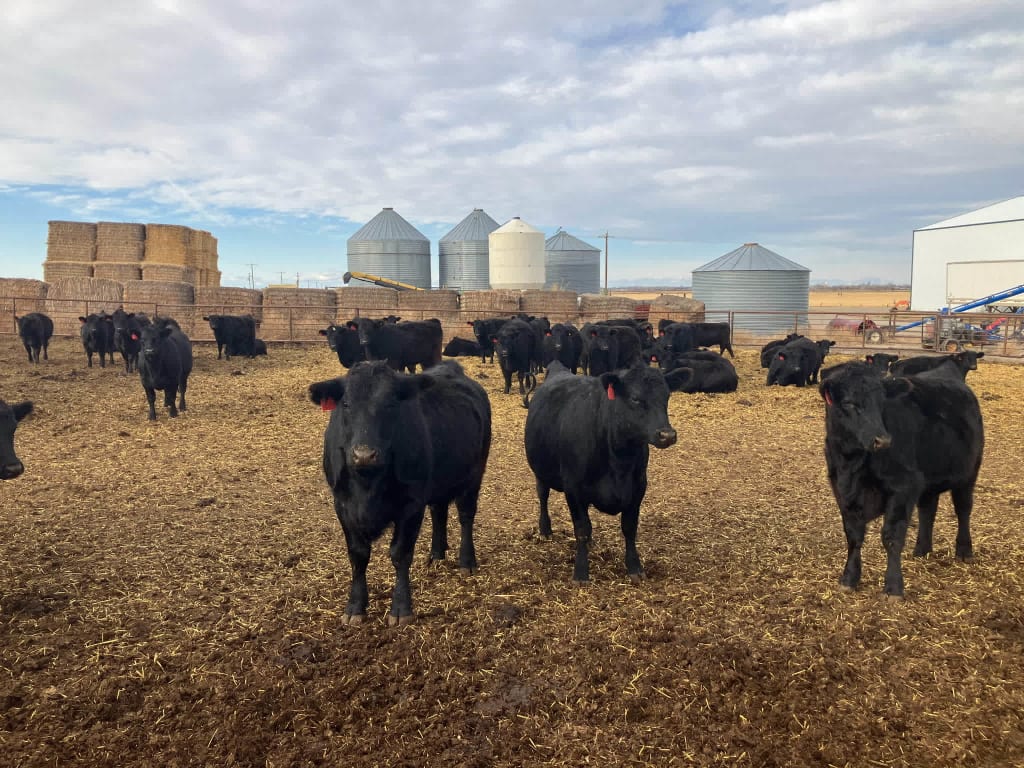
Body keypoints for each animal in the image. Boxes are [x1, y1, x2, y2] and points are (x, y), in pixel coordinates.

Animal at [308, 360, 492, 626]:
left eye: (390, 404)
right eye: (346, 404)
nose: (364, 454)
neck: (367, 483)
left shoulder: (411, 505)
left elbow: (400, 554)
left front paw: (401, 608)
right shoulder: (342, 505)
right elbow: (358, 556)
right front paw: (355, 607)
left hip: (474, 474)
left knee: (466, 516)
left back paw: (467, 561)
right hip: (438, 482)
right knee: (439, 511)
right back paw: (436, 554)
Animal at [524, 361, 677, 583]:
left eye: (667, 396)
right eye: (635, 398)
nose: (667, 435)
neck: (619, 459)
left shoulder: (638, 487)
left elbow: (629, 528)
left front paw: (635, 567)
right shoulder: (573, 488)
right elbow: (581, 529)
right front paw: (580, 572)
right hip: (541, 472)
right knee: (543, 496)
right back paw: (545, 530)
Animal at [819, 361, 984, 598]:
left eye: (882, 403)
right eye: (848, 403)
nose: (883, 440)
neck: (851, 463)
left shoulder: (903, 487)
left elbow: (892, 537)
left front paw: (893, 587)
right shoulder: (842, 491)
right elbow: (853, 535)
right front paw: (849, 578)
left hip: (968, 473)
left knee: (963, 510)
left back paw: (964, 550)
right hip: (928, 481)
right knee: (927, 511)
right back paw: (922, 549)